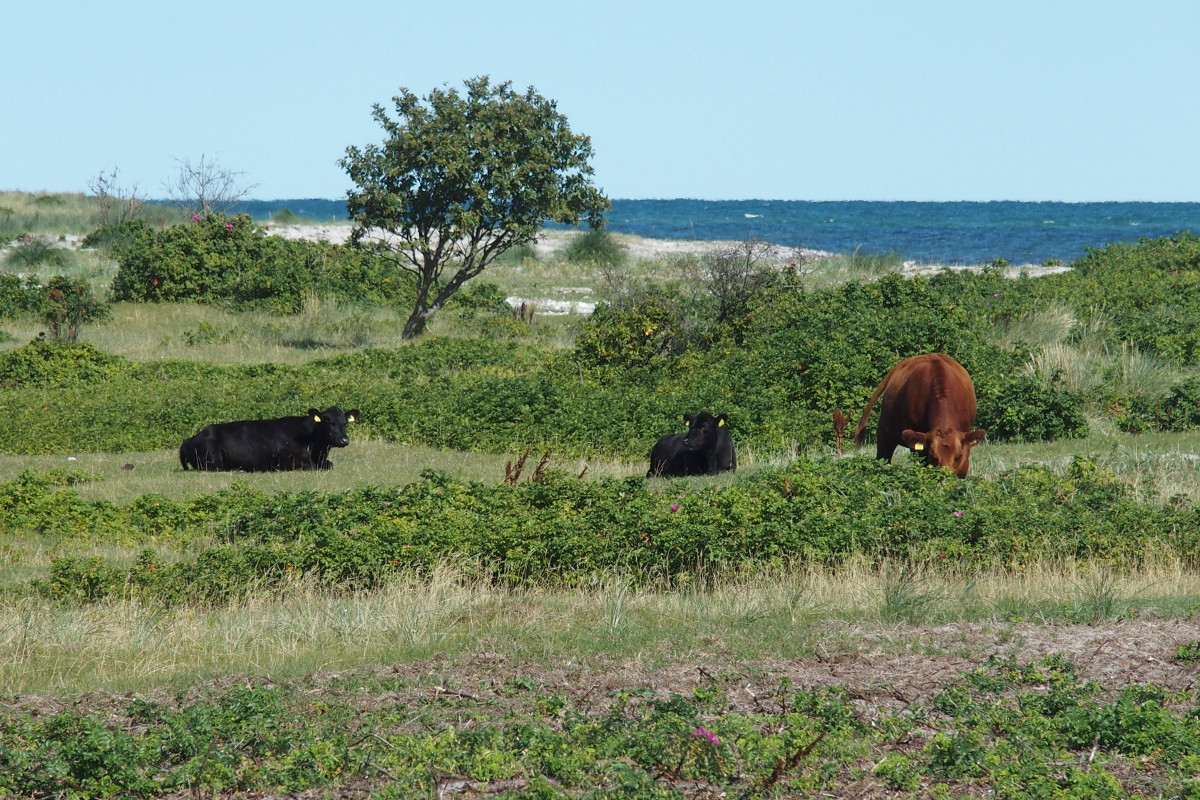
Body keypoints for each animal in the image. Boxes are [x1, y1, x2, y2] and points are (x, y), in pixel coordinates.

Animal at [175, 407, 357, 470]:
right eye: (329, 423)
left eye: (344, 423)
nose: (344, 440)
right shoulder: (295, 461)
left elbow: (330, 465)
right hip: (212, 460)